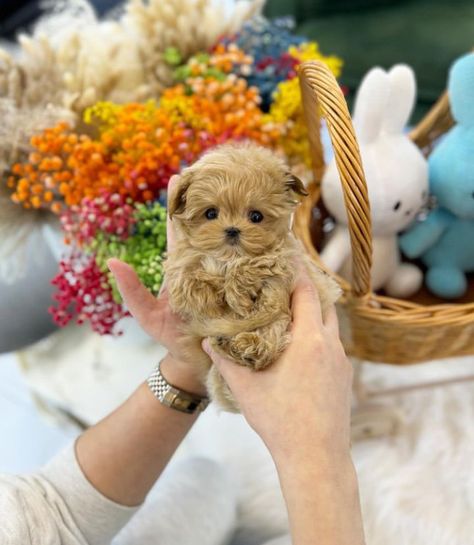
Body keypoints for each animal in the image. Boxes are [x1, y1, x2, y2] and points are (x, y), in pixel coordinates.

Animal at [165, 142, 338, 410]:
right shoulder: (184, 260)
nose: (232, 230)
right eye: (210, 213)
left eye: (256, 216)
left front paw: (237, 296)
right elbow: (184, 279)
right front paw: (210, 299)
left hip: (280, 324)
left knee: (269, 344)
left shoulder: (281, 259)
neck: (227, 258)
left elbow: (252, 266)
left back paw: (249, 348)